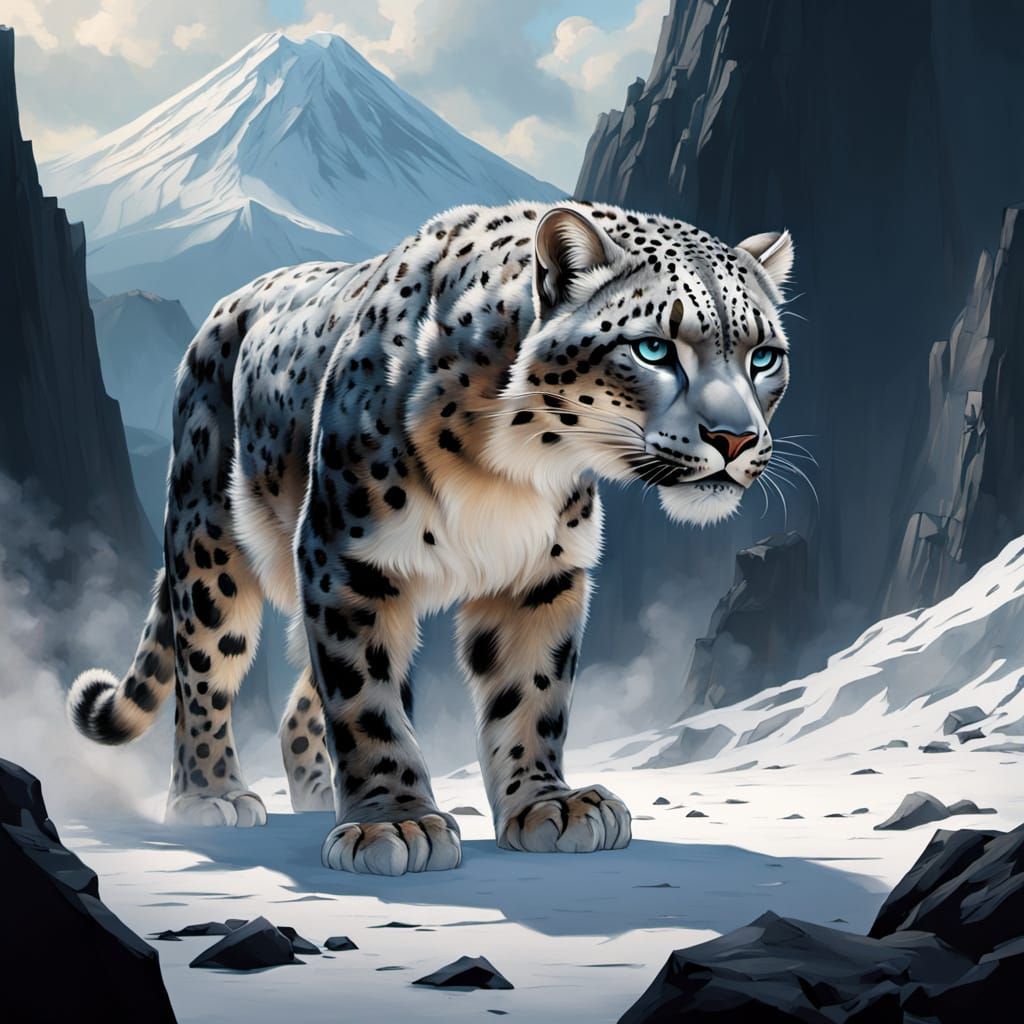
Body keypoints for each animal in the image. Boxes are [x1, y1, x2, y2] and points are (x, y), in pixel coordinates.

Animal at [67, 200, 794, 876]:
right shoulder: (347, 557)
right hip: (209, 542)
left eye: (764, 357)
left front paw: (545, 805)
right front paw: (393, 823)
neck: (513, 468)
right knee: (206, 666)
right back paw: (209, 795)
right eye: (654, 348)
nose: (735, 439)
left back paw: (313, 796)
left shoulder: (543, 572)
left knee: (300, 696)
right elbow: (364, 696)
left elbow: (534, 692)